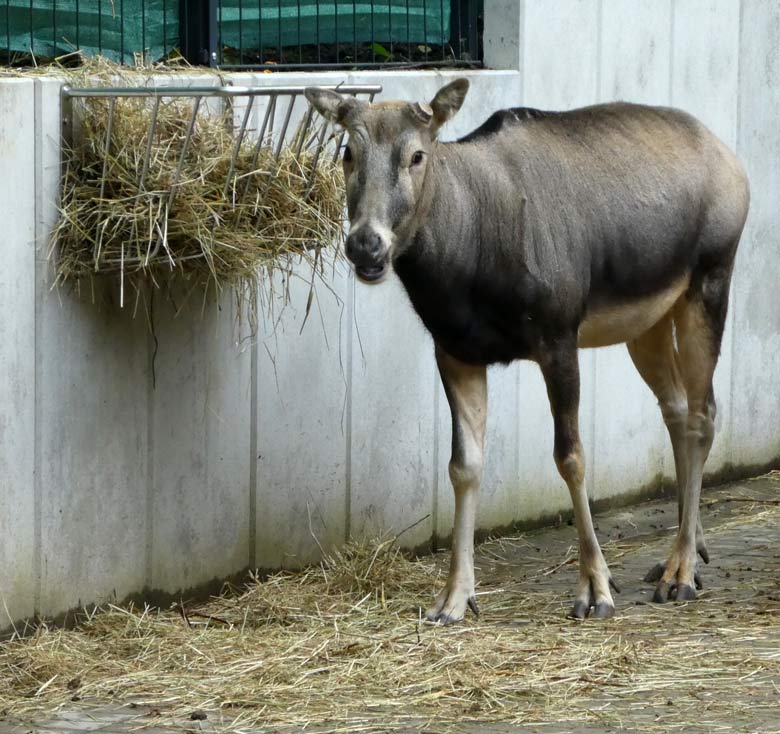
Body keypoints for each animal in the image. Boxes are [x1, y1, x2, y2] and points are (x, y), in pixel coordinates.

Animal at [304, 77, 748, 624]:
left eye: (416, 154)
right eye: (348, 151)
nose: (367, 245)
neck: (467, 268)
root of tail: (734, 164)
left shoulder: (558, 337)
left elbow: (571, 457)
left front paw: (596, 588)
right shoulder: (456, 350)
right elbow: (463, 465)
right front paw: (453, 598)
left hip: (710, 280)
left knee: (704, 414)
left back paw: (681, 570)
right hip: (647, 321)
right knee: (678, 408)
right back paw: (689, 551)